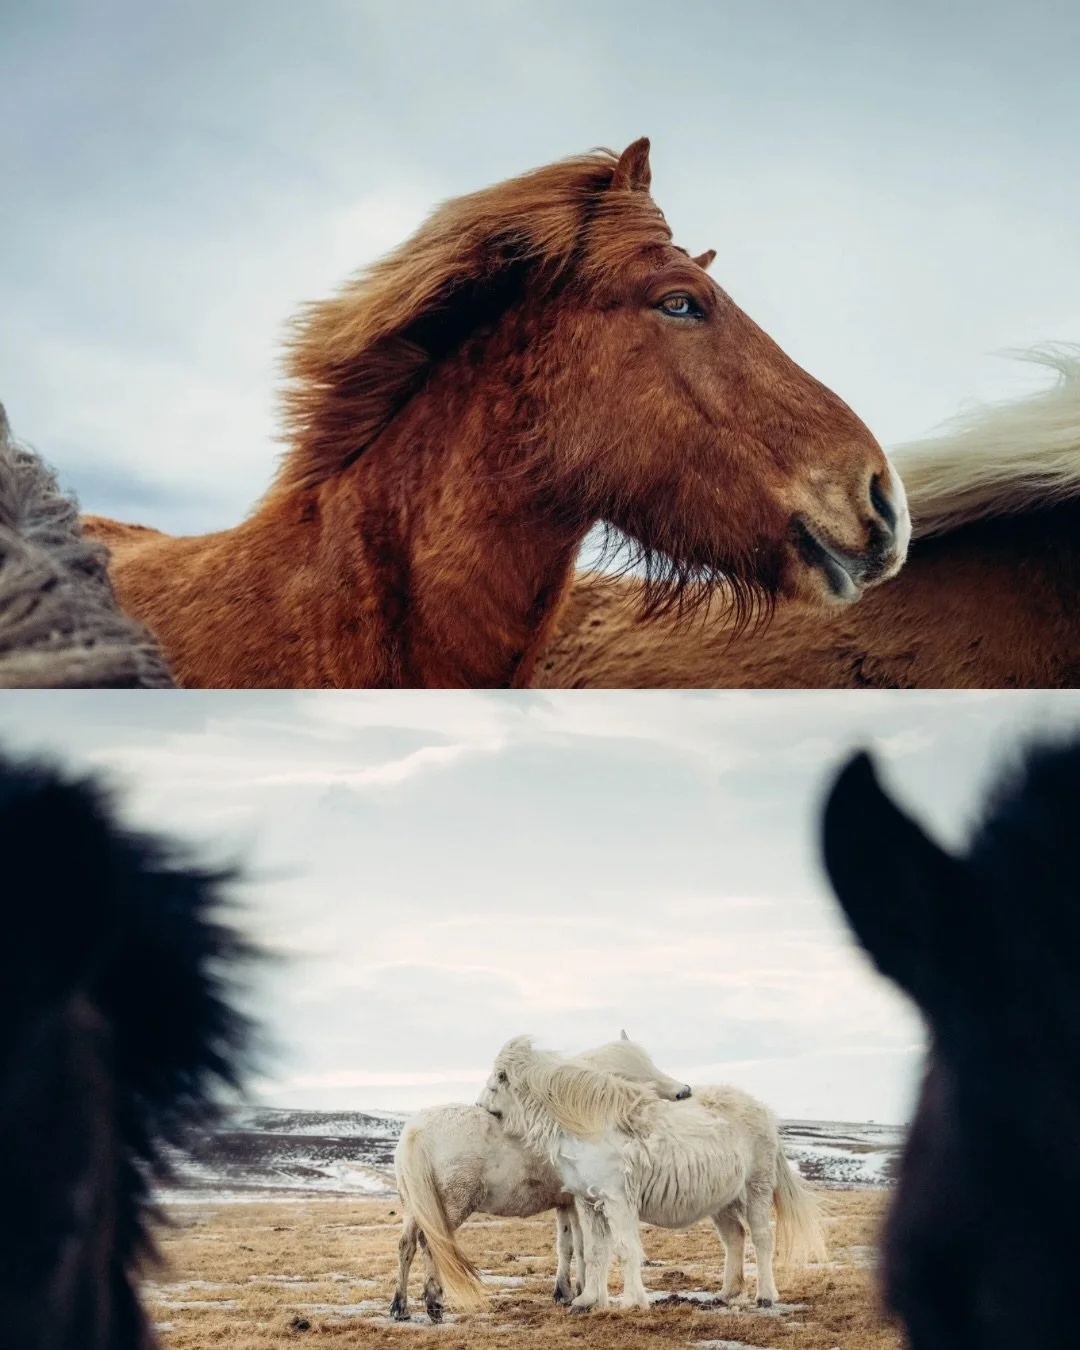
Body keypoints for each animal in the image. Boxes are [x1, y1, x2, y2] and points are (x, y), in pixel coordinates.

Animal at [389, 1031, 692, 1322]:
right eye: (637, 1075)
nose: (685, 1092)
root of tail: (416, 1131)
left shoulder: (566, 1203)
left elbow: (568, 1246)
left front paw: (567, 1292)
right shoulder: (580, 1201)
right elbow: (584, 1247)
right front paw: (585, 1294)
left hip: (415, 1207)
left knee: (406, 1245)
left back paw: (400, 1307)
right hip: (451, 1207)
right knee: (431, 1243)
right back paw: (434, 1303)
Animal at [476, 1038, 824, 1313]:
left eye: (495, 1084)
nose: (478, 1106)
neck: (588, 1124)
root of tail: (762, 1110)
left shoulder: (617, 1200)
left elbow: (625, 1249)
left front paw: (633, 1302)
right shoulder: (588, 1202)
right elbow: (595, 1252)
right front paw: (586, 1301)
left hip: (757, 1188)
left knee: (762, 1238)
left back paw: (765, 1296)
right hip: (722, 1200)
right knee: (734, 1238)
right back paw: (726, 1294)